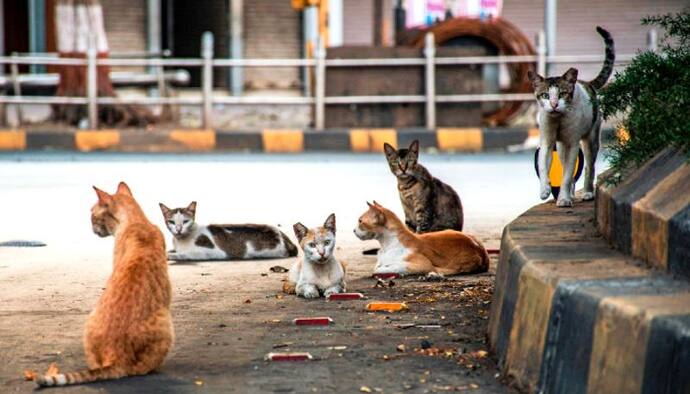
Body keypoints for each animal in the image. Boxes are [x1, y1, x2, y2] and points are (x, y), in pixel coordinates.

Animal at [28, 183, 175, 386]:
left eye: (91, 214)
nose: (91, 228)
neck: (136, 220)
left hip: (91, 320)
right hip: (166, 321)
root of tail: (115, 356)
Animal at [159, 200, 298, 262]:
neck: (180, 240)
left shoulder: (214, 252)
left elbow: (185, 254)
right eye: (171, 222)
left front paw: (170, 255)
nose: (178, 229)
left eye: (185, 221)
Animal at [352, 202, 486, 276]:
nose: (353, 230)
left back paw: (433, 275)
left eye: (360, 221)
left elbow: (378, 269)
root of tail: (481, 250)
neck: (386, 245)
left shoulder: (423, 264)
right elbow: (378, 267)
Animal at [528, 26, 612, 208]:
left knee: (589, 167)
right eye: (545, 95)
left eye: (562, 94)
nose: (553, 104)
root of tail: (586, 83)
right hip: (560, 147)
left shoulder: (572, 143)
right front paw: (545, 190)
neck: (558, 119)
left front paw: (564, 199)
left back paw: (587, 192)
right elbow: (544, 168)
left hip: (591, 140)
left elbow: (567, 175)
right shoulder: (547, 142)